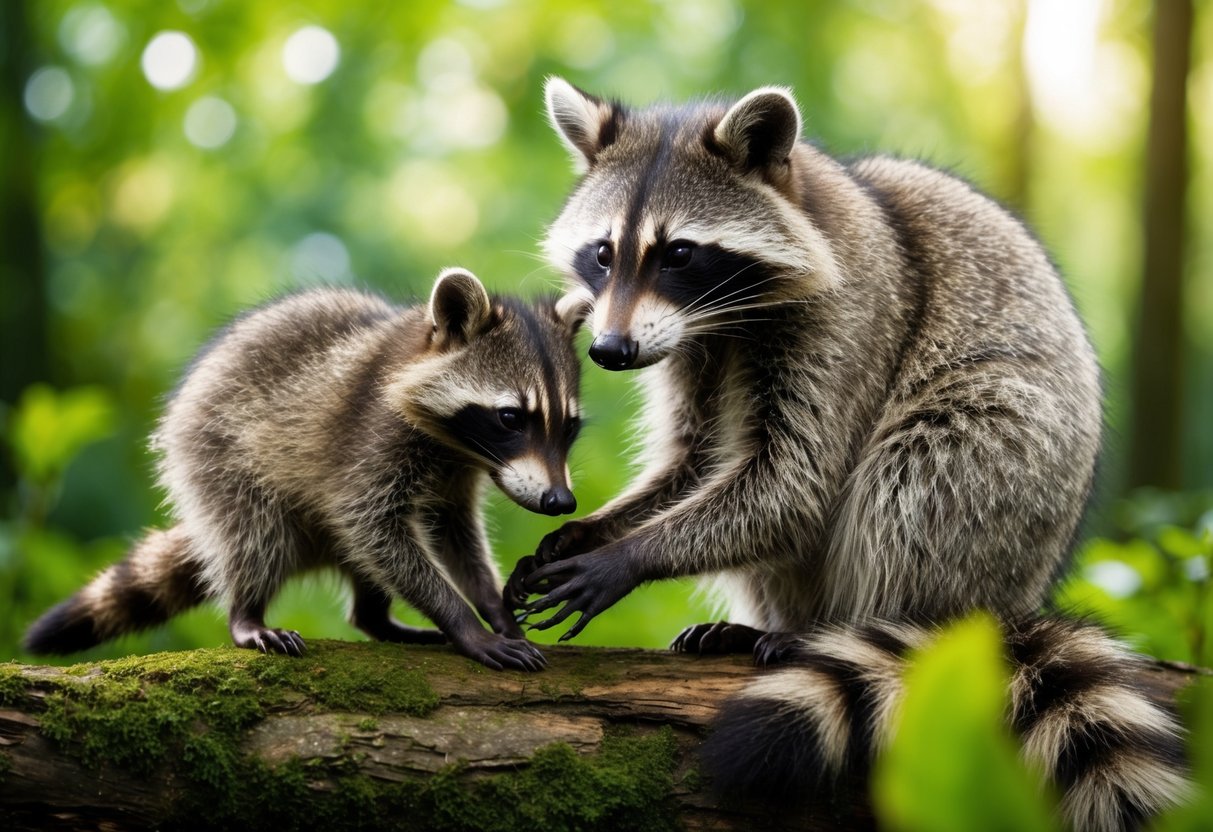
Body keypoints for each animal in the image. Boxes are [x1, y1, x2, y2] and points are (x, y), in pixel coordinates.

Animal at [26, 269, 587, 671]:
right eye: (511, 418)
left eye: (569, 427)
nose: (560, 502)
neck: (456, 446)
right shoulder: (372, 438)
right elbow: (372, 524)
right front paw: (463, 621)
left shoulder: (454, 478)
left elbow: (453, 534)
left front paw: (491, 604)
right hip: (214, 456)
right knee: (256, 535)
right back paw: (247, 612)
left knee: (360, 564)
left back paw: (378, 619)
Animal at [505, 79, 1190, 827]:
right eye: (602, 252)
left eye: (678, 253)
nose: (609, 351)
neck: (721, 319)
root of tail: (1006, 604)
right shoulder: (688, 348)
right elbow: (695, 463)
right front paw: (588, 532)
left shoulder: (850, 315)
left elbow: (794, 486)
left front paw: (624, 557)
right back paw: (774, 624)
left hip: (1012, 466)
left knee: (922, 474)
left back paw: (845, 623)